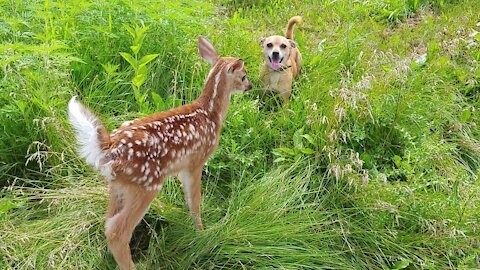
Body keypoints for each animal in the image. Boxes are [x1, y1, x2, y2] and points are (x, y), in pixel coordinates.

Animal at [69, 36, 253, 270]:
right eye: (244, 74)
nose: (250, 86)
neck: (210, 113)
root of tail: (109, 147)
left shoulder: (181, 168)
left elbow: (188, 199)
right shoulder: (195, 162)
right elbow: (195, 201)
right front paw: (201, 231)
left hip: (118, 186)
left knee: (107, 221)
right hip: (146, 184)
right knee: (117, 231)